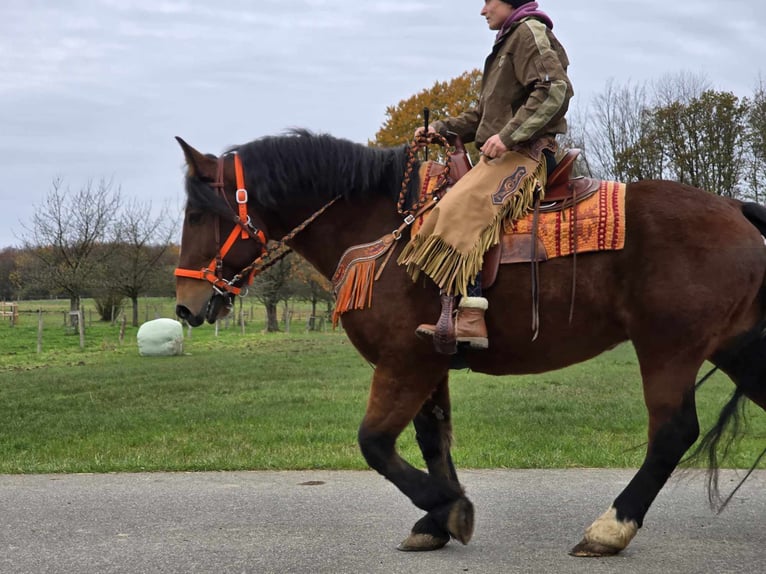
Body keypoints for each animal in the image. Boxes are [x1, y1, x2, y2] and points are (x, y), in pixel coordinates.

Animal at [176, 130, 766, 560]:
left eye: (200, 213)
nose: (185, 305)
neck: (384, 227)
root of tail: (734, 209)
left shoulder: (403, 362)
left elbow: (375, 443)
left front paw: (449, 507)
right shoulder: (426, 363)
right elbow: (431, 439)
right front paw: (435, 520)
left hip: (669, 347)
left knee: (672, 432)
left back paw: (609, 528)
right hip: (733, 347)